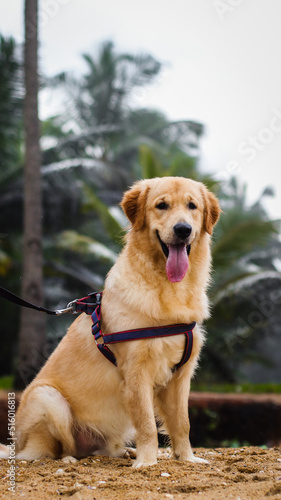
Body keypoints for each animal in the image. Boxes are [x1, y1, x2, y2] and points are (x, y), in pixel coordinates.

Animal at [0, 177, 219, 468]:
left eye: (192, 206)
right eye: (162, 205)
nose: (183, 229)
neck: (168, 288)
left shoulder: (181, 375)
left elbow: (182, 423)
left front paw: (187, 458)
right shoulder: (136, 372)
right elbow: (147, 424)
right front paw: (147, 463)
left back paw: (125, 451)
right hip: (47, 397)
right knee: (48, 451)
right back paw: (69, 459)